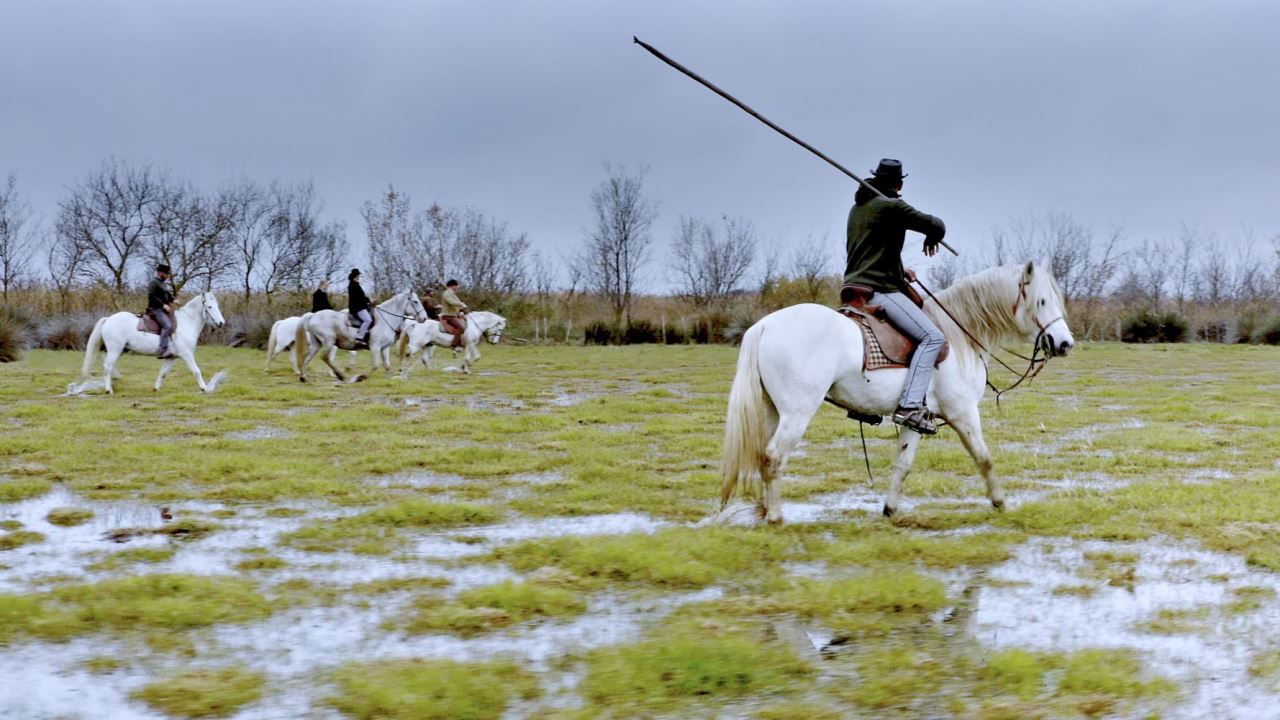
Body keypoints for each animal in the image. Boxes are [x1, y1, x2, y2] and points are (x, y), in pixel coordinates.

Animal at [79, 289, 227, 392]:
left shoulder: (171, 357)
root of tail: (108, 319)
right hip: (115, 349)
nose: (221, 323)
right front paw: (204, 388)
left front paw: (156, 388)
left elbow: (163, 373)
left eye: (217, 305)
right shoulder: (187, 355)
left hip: (118, 350)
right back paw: (109, 389)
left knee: (109, 365)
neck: (186, 323)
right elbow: (196, 370)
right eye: (209, 307)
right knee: (107, 366)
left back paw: (115, 380)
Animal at [293, 288, 427, 384]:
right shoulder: (375, 347)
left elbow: (387, 366)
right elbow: (376, 365)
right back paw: (340, 375)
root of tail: (313, 315)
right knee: (325, 357)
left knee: (307, 358)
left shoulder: (385, 348)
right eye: (415, 302)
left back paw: (303, 378)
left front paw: (389, 380)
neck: (385, 319)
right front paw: (359, 378)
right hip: (328, 341)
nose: (424, 318)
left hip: (317, 343)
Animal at [721, 260, 1070, 517]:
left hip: (773, 411)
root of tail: (764, 326)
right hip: (796, 414)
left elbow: (903, 464)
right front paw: (1000, 502)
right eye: (1041, 301)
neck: (959, 333)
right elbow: (984, 458)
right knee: (774, 457)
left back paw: (765, 509)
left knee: (762, 455)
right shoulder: (962, 412)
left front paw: (890, 509)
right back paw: (776, 517)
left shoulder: (917, 418)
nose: (1065, 343)